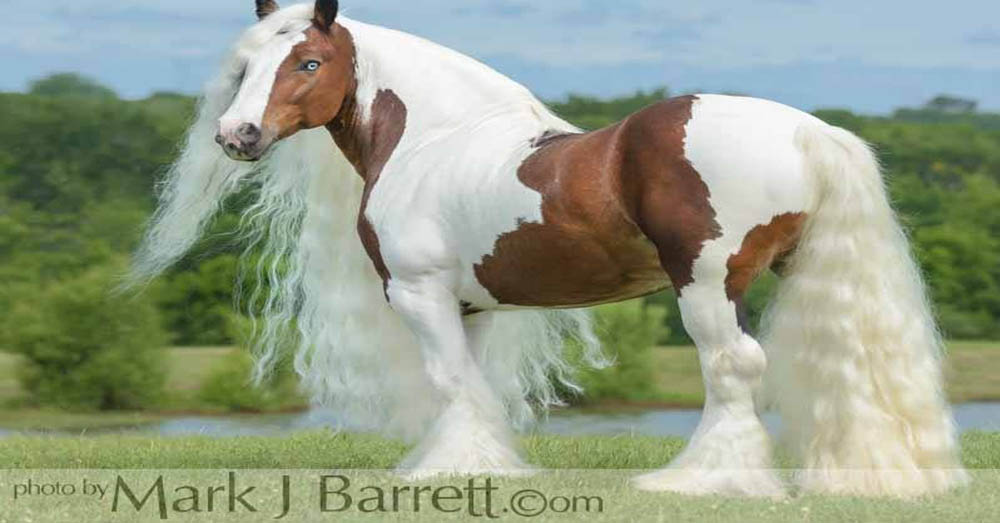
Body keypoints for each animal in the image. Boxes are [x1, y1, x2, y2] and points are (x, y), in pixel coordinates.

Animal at [125, 1, 968, 500]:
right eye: (246, 67)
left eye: (307, 63)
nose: (237, 136)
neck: (435, 139)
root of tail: (804, 128)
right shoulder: (470, 305)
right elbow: (469, 384)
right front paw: (478, 463)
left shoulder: (419, 293)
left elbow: (450, 382)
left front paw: (450, 471)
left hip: (705, 284)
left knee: (733, 370)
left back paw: (699, 481)